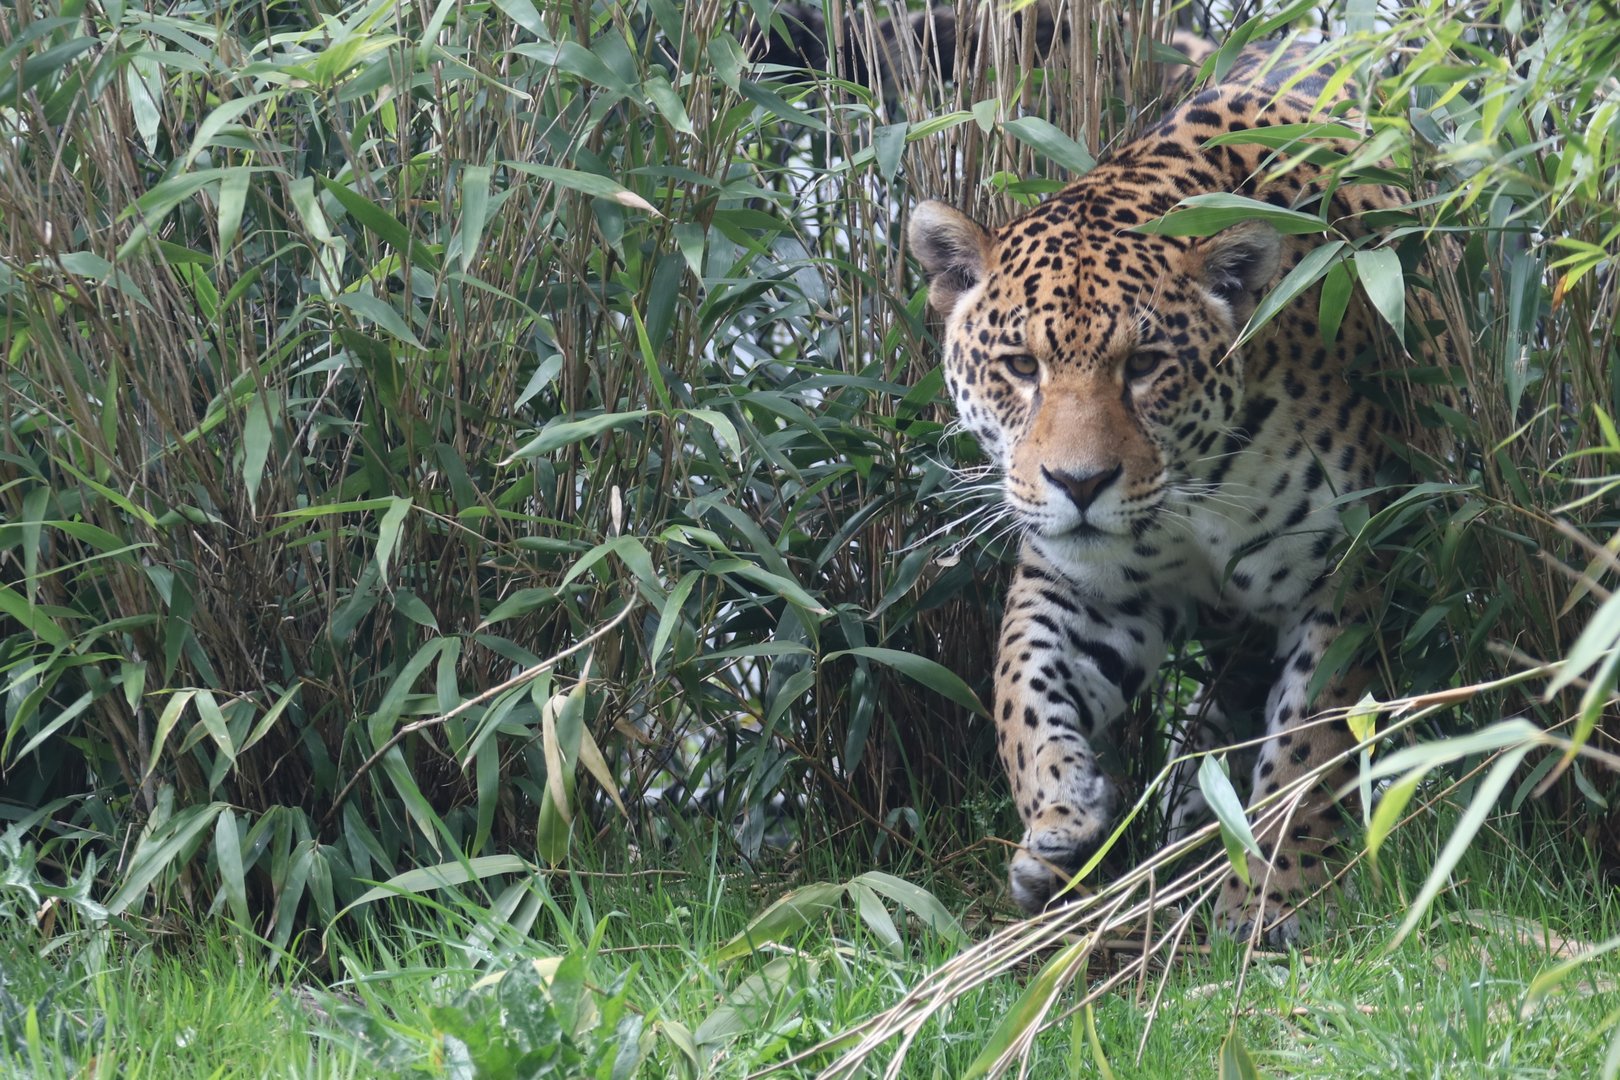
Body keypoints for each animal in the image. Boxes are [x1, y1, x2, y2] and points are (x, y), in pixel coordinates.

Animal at [908, 46, 1427, 942]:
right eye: (1021, 366)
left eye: (1144, 366)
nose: (1080, 483)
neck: (1197, 484)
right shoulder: (1084, 586)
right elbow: (1021, 688)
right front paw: (1062, 817)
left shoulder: (1342, 574)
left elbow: (1308, 750)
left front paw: (1270, 900)